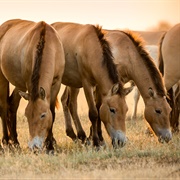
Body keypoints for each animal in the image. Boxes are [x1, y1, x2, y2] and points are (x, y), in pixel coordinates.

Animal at [0, 18, 64, 150]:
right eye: (27, 115)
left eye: (43, 115)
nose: (34, 146)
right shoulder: (29, 83)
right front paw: (49, 144)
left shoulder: (57, 82)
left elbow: (52, 110)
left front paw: (50, 144)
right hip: (2, 78)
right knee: (3, 107)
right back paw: (6, 142)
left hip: (19, 85)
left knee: (12, 104)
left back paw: (16, 143)